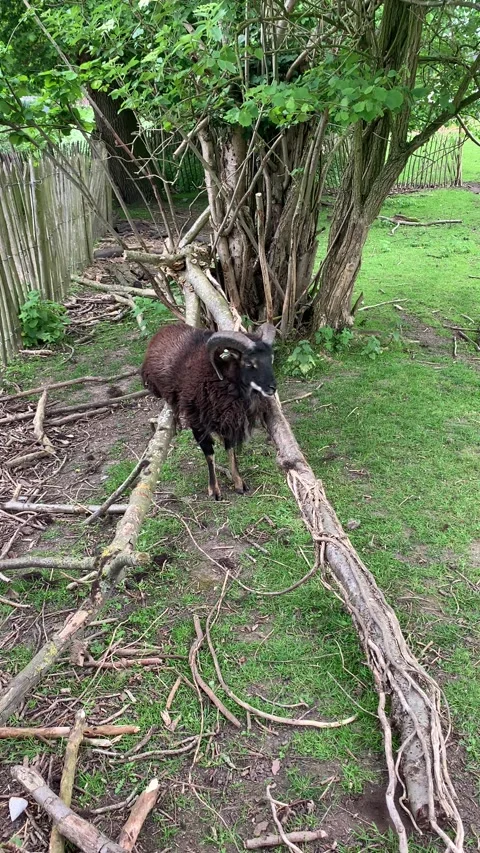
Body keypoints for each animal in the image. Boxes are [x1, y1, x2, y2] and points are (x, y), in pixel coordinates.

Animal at [141, 322, 277, 499]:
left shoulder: (229, 421)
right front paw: (214, 490)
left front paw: (239, 483)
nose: (272, 388)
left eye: (271, 359)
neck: (222, 378)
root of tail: (164, 329)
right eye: (249, 363)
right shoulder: (197, 421)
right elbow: (209, 452)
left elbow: (230, 449)